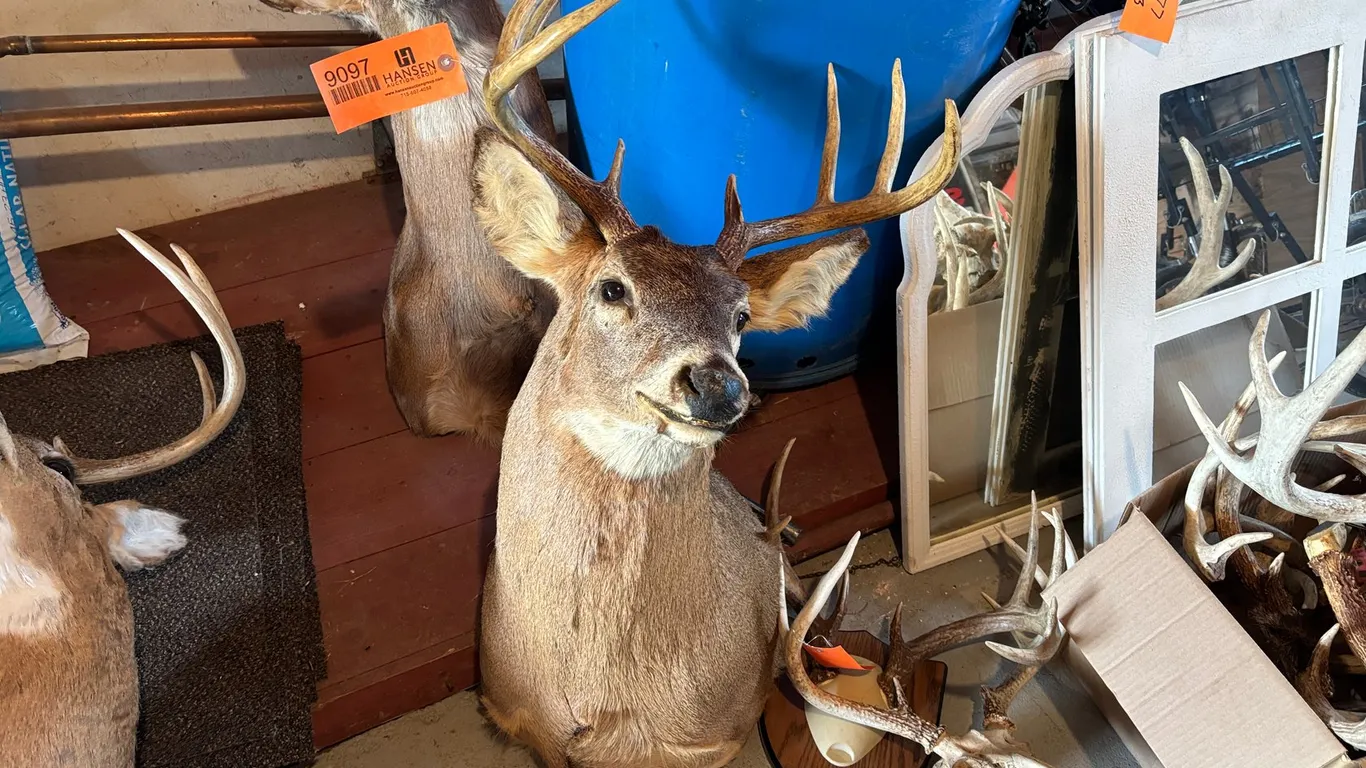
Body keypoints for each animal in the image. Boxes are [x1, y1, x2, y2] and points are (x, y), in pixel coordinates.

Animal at [470, 1, 961, 766]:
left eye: (740, 316)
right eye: (612, 288)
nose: (719, 386)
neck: (596, 698)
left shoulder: (720, 735)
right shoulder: (517, 723)